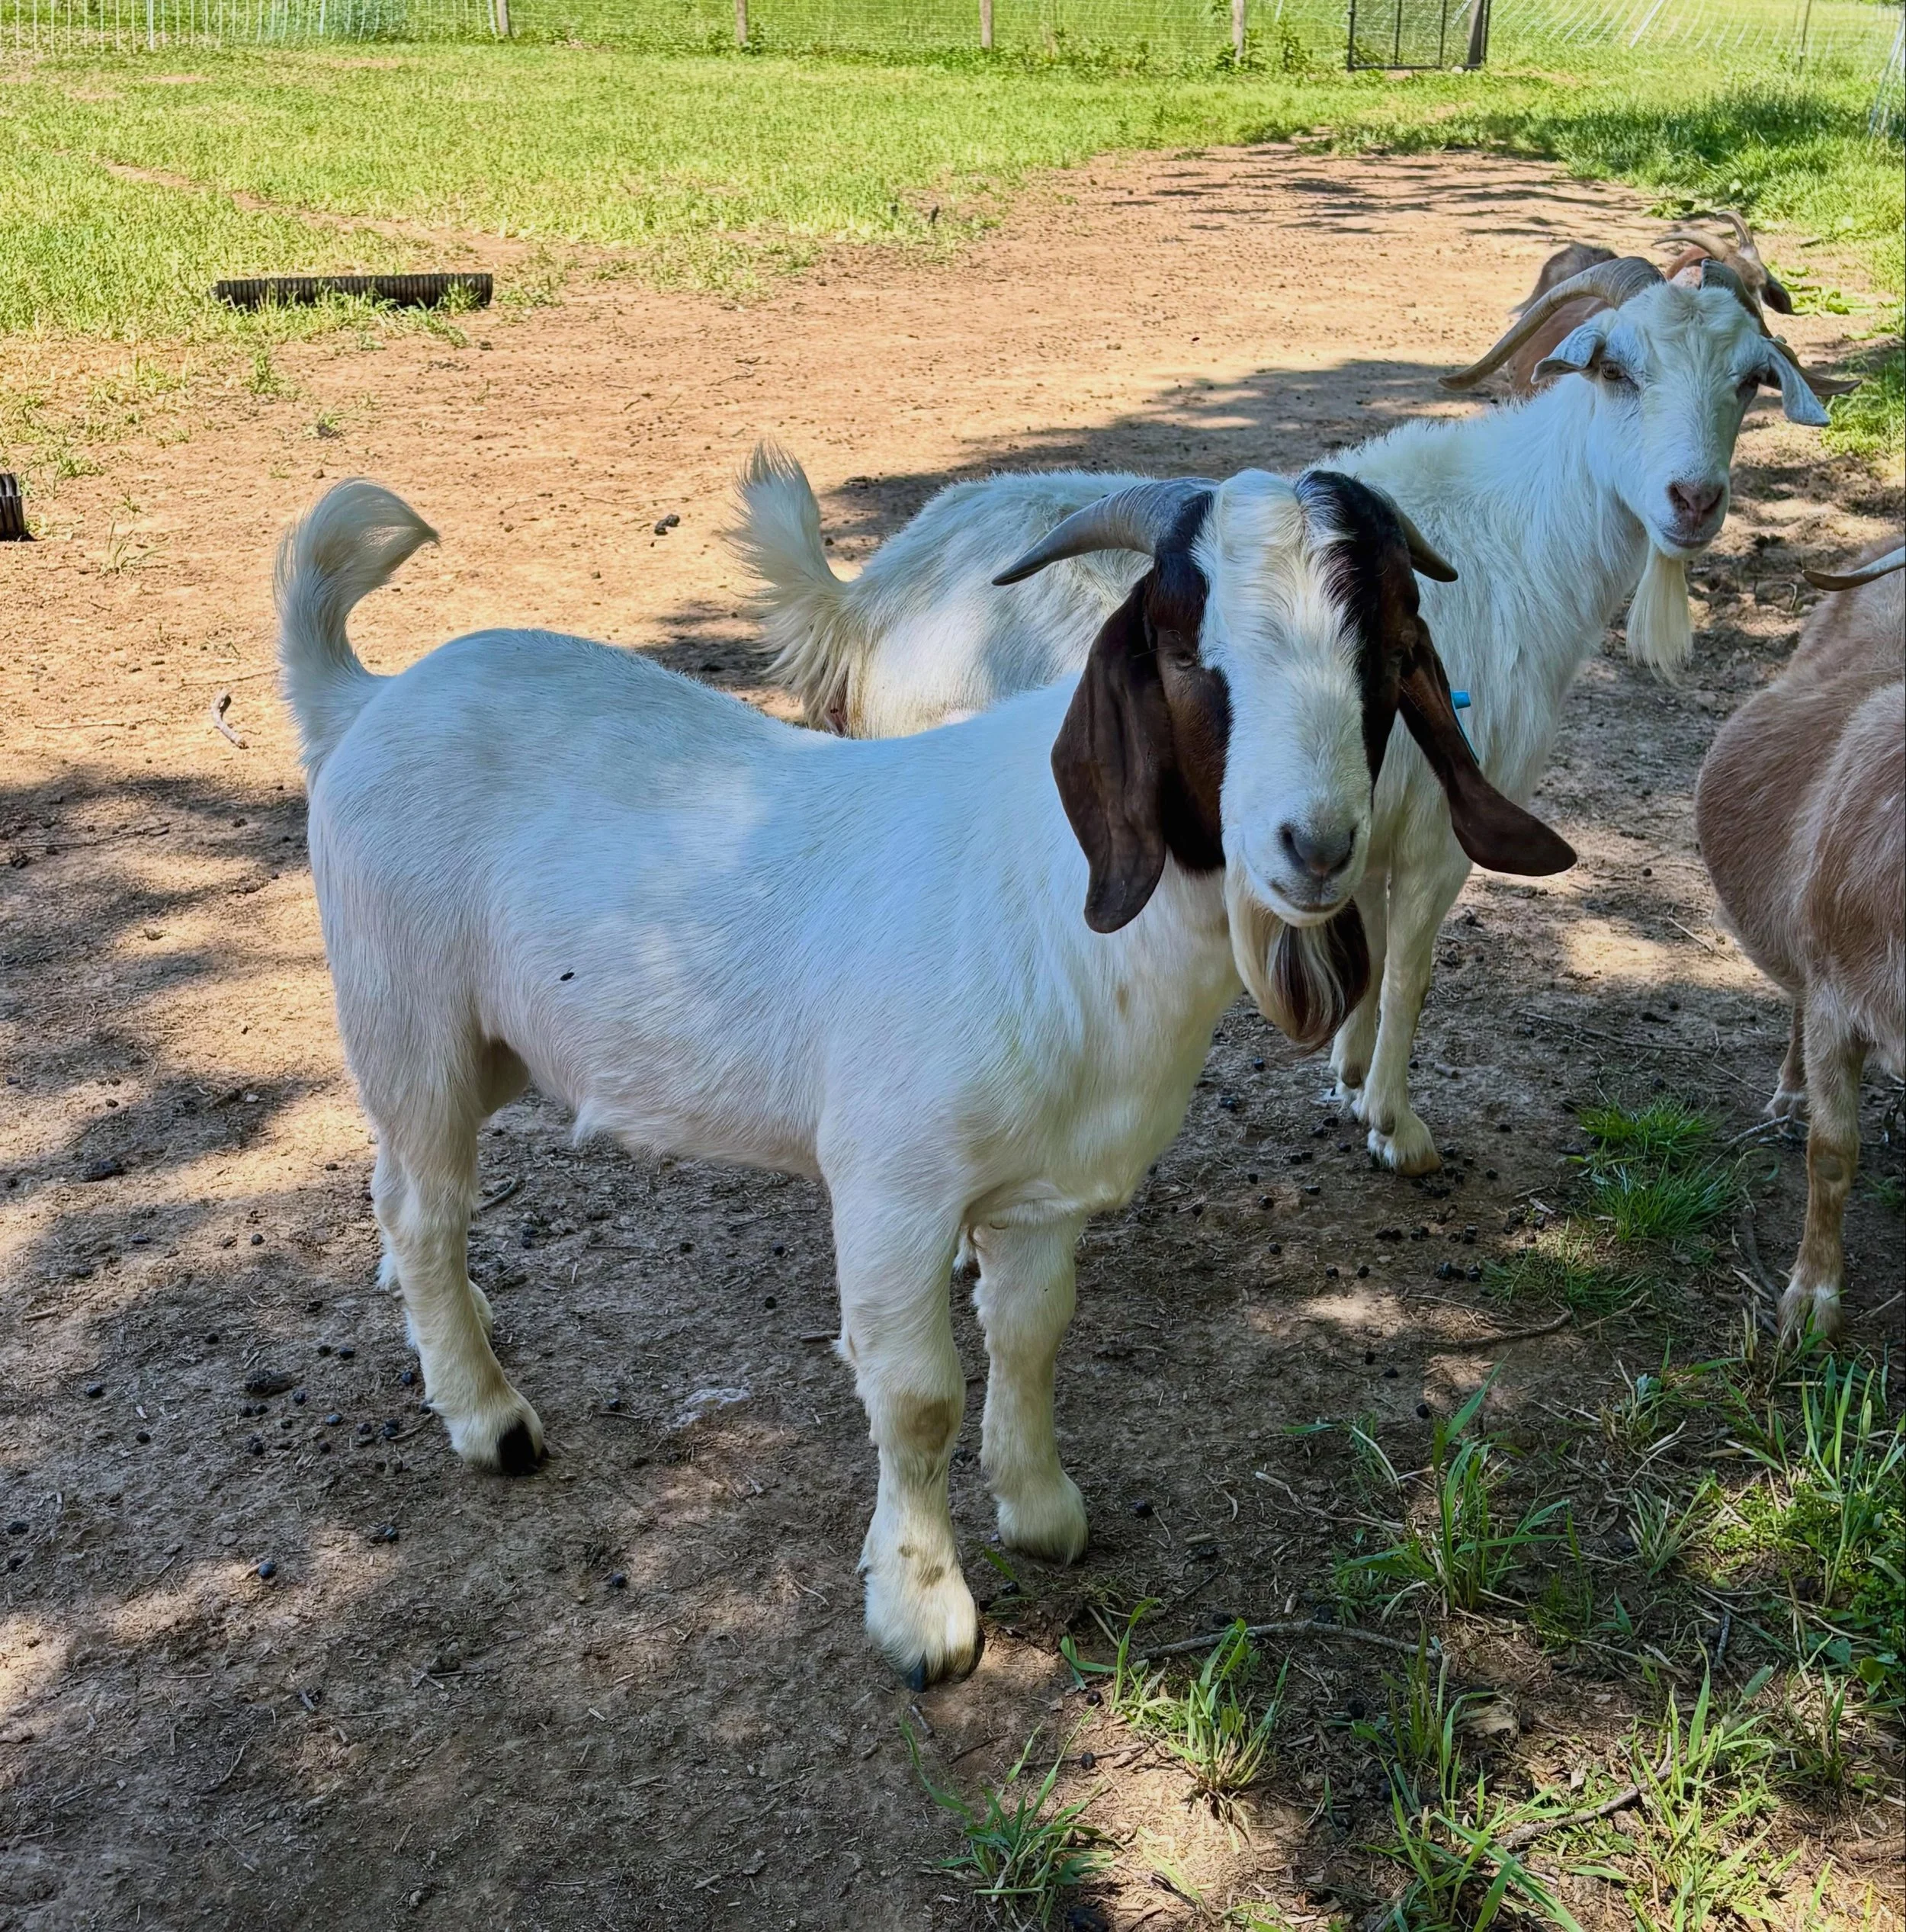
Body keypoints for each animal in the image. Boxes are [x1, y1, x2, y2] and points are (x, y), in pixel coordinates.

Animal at [280, 472, 1568, 1684]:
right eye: (1186, 652)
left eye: (1384, 652)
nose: (1315, 847)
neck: (1050, 897)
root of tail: (367, 699)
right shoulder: (892, 1188)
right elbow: (917, 1393)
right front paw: (923, 1612)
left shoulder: (1045, 1197)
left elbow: (1032, 1333)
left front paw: (1041, 1508)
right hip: (409, 1017)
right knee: (421, 1198)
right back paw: (488, 1414)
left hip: (487, 1045)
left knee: (406, 1199)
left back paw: (448, 1318)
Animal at [734, 255, 1831, 1174]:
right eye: (1614, 369)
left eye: (1749, 380)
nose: (1692, 499)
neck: (1518, 535)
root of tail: (873, 599)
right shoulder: (1440, 831)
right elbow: (1412, 970)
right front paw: (1398, 1127)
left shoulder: (1370, 819)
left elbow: (1376, 949)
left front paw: (1347, 1077)